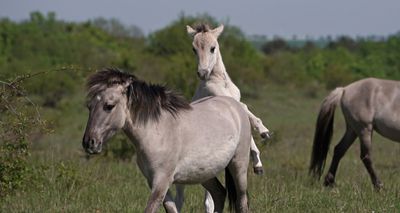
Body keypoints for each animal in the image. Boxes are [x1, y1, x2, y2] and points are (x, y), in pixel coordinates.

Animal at [82, 68, 250, 213]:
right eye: (89, 106)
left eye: (109, 106)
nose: (89, 143)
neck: (158, 133)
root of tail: (236, 106)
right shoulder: (154, 182)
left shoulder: (161, 182)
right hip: (205, 173)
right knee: (219, 194)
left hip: (238, 167)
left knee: (241, 202)